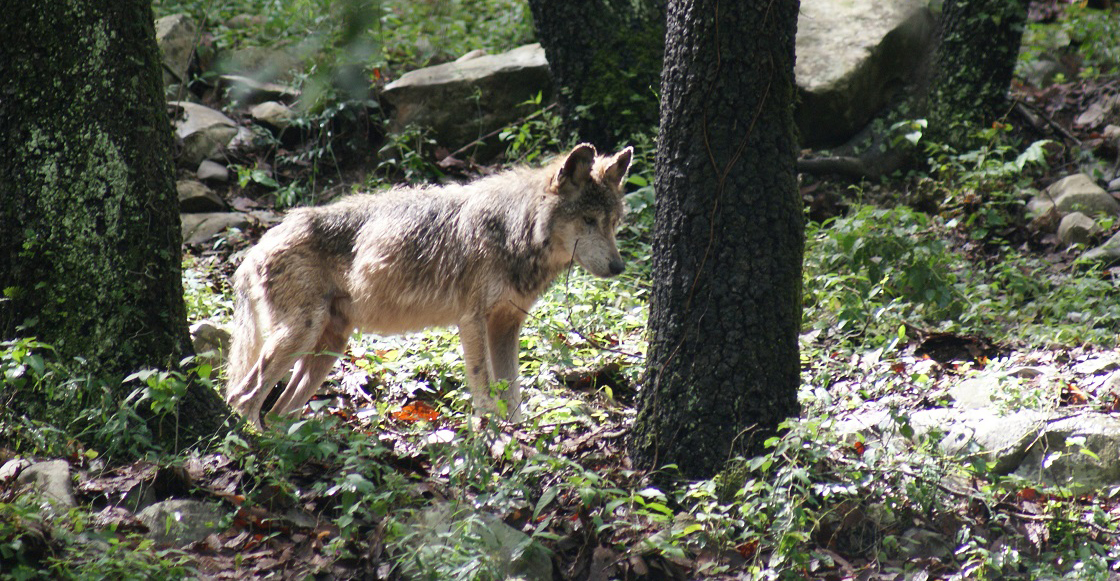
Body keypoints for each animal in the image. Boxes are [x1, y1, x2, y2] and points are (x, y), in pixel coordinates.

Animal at [226, 144, 631, 427]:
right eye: (589, 220)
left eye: (614, 223)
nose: (619, 267)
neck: (514, 229)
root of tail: (256, 247)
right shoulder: (472, 323)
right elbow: (485, 393)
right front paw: (493, 438)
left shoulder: (506, 325)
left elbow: (512, 397)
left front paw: (518, 438)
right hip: (301, 336)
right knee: (242, 398)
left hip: (328, 348)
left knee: (277, 411)